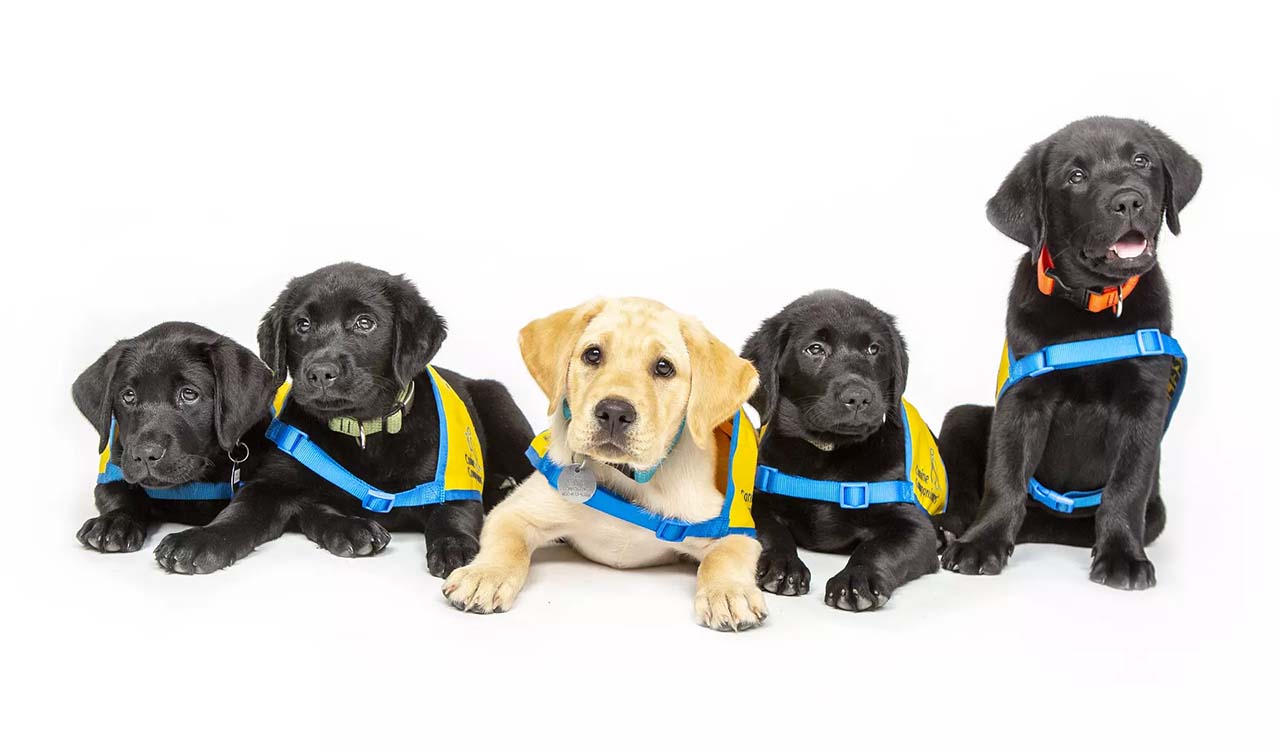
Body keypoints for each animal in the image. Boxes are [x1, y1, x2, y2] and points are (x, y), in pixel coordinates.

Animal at [72, 321, 275, 547]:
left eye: (189, 394)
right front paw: (114, 521)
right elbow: (118, 492)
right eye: (128, 395)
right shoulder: (115, 469)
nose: (145, 454)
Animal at [152, 259, 532, 575]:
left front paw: (454, 547)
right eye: (302, 325)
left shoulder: (453, 479)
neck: (363, 431)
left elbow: (452, 512)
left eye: (365, 323)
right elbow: (240, 512)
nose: (320, 372)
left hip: (502, 408)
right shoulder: (272, 484)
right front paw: (200, 540)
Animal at [445, 294, 762, 627]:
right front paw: (485, 574)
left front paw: (728, 592)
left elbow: (722, 556)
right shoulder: (514, 512)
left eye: (664, 367)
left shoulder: (733, 531)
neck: (627, 476)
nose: (614, 411)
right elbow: (508, 544)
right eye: (593, 355)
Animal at [747, 289, 947, 609]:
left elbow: (877, 549)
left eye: (874, 349)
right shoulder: (757, 501)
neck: (828, 452)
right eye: (815, 349)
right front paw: (783, 564)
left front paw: (857, 578)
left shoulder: (913, 526)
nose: (858, 397)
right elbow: (769, 531)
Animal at [942, 115, 1198, 588]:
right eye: (1075, 177)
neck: (1091, 310)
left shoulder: (1144, 406)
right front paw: (981, 543)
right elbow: (1005, 474)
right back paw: (954, 531)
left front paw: (1122, 556)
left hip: (1154, 512)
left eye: (1142, 161)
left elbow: (1126, 486)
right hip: (963, 417)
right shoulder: (1022, 397)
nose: (1129, 200)